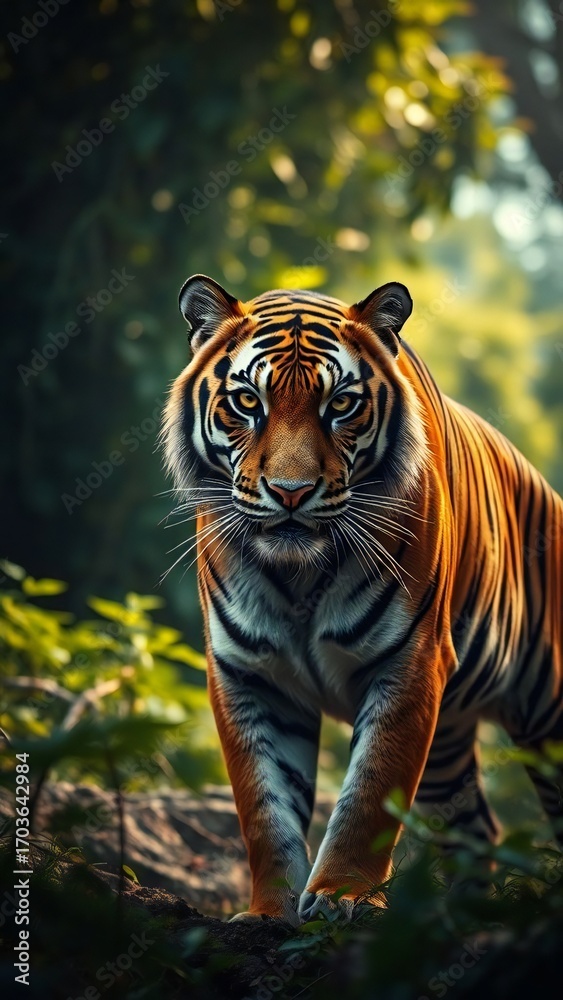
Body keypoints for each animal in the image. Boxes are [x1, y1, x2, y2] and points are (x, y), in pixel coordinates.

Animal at [162, 274, 563, 926]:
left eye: (341, 405)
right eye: (248, 402)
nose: (290, 492)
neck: (299, 576)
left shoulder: (410, 663)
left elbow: (369, 795)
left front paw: (342, 896)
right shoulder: (248, 674)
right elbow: (264, 809)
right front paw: (269, 912)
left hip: (545, 711)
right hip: (449, 744)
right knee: (474, 828)